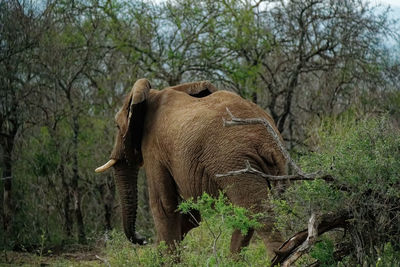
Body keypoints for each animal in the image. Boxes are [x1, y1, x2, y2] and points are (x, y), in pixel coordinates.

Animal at [95, 79, 286, 258]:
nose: (142, 240)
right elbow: (191, 214)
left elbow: (163, 205)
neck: (150, 95)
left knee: (258, 214)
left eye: (117, 126)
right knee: (246, 214)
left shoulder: (154, 148)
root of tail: (269, 142)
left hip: (237, 161)